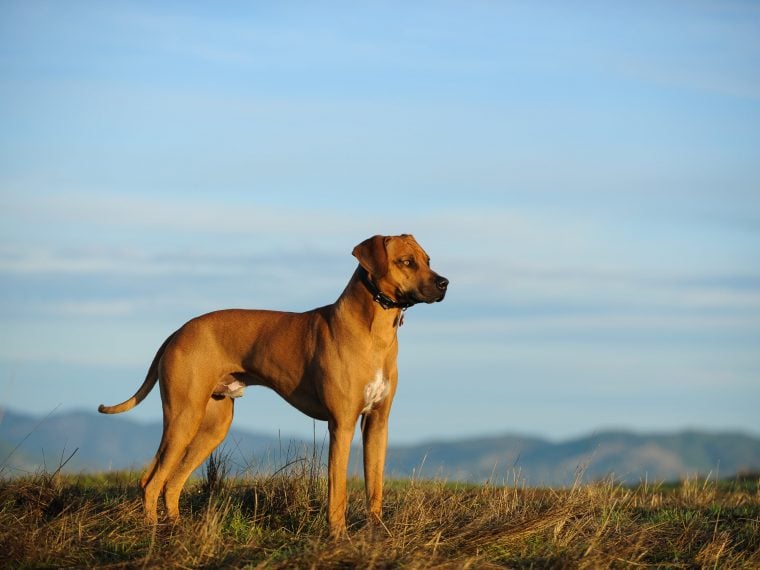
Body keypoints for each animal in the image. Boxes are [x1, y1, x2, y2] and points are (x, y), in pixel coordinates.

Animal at [98, 233, 448, 536]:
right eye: (406, 262)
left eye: (428, 259)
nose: (444, 282)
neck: (374, 330)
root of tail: (178, 331)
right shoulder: (342, 423)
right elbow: (337, 491)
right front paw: (338, 536)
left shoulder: (377, 423)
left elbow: (374, 486)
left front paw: (376, 535)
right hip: (184, 417)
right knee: (152, 481)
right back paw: (153, 532)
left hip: (212, 426)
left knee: (171, 482)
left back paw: (177, 529)